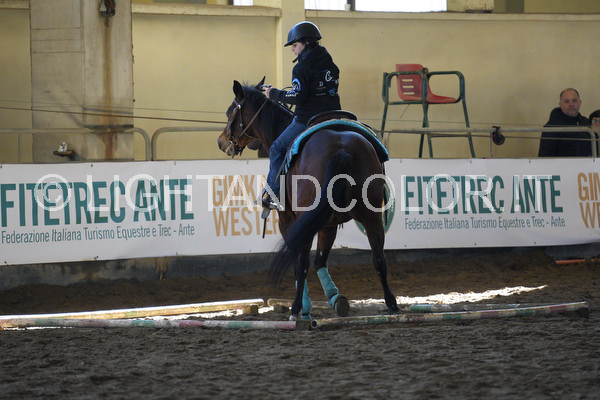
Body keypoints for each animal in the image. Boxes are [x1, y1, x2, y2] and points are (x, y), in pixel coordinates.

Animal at [217, 78, 399, 320]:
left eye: (231, 112)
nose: (221, 141)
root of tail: (342, 148)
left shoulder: (288, 220)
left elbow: (299, 261)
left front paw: (308, 304)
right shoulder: (328, 224)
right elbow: (320, 259)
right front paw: (335, 296)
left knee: (302, 263)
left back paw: (296, 309)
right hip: (372, 216)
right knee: (379, 259)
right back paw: (392, 305)